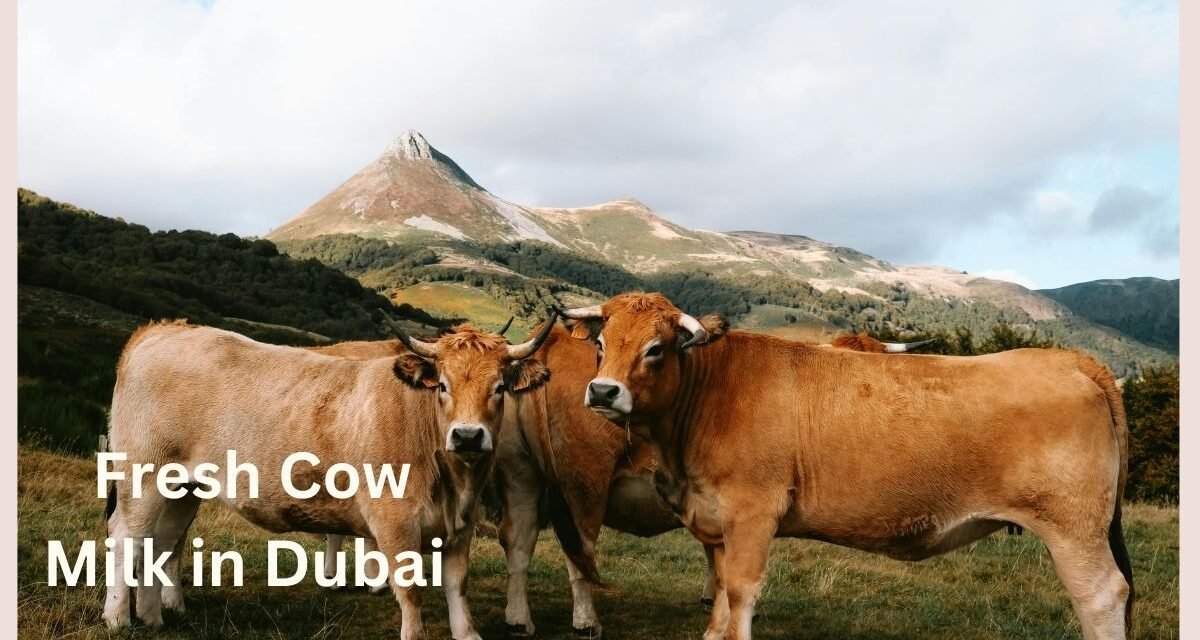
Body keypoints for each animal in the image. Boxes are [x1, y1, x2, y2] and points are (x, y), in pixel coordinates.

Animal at [103, 314, 556, 640]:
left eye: (499, 387)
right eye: (441, 385)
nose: (467, 435)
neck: (453, 482)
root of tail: (164, 329)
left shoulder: (460, 525)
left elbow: (457, 585)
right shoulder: (394, 521)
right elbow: (409, 589)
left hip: (182, 486)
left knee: (160, 542)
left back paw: (153, 615)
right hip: (143, 474)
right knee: (127, 537)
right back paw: (118, 618)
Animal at [560, 292, 1133, 640]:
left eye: (656, 349)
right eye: (601, 343)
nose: (603, 391)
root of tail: (1068, 359)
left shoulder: (753, 514)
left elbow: (741, 595)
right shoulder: (718, 521)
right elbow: (720, 599)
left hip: (1074, 527)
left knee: (1102, 596)